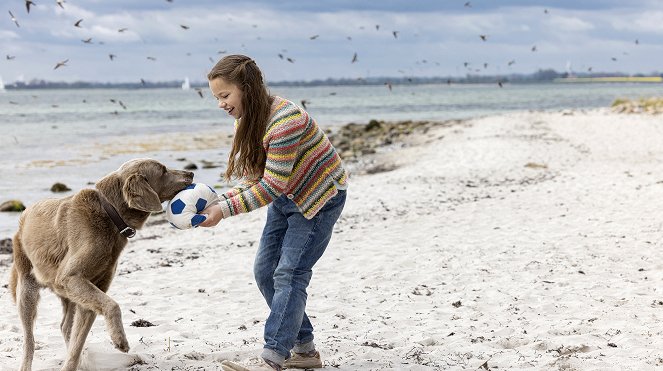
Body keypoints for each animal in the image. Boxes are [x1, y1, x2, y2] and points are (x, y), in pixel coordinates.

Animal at [9, 159, 193, 371]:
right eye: (163, 171)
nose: (190, 174)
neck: (110, 213)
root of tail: (23, 215)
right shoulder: (70, 277)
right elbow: (112, 305)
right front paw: (120, 340)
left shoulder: (92, 287)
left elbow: (78, 342)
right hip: (27, 288)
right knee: (29, 340)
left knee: (65, 327)